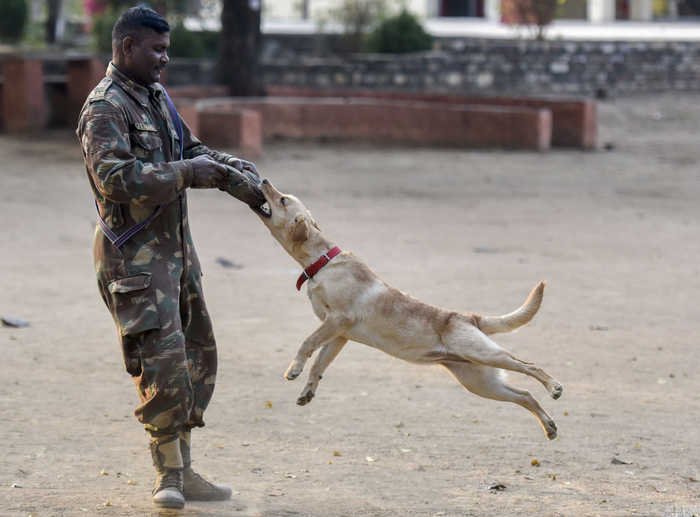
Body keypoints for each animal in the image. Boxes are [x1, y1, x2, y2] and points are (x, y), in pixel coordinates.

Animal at [254, 179, 560, 438]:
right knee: (525, 395)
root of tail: (469, 318)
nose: (264, 180)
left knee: (529, 367)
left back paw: (554, 387)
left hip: (484, 354)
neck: (323, 261)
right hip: (481, 382)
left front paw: (294, 369)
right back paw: (549, 427)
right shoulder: (339, 334)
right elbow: (319, 363)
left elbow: (307, 343)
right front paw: (308, 390)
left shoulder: (337, 321)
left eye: (282, 200)